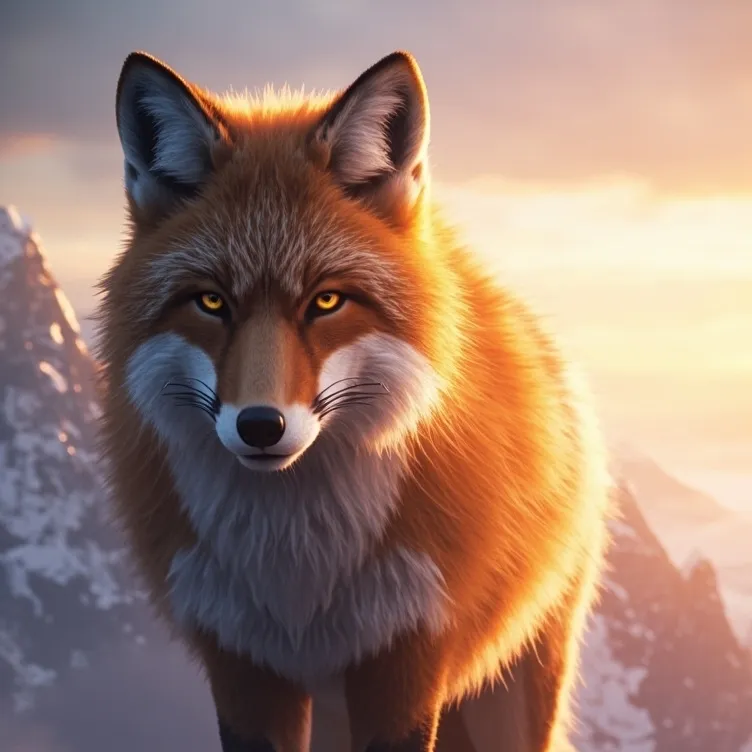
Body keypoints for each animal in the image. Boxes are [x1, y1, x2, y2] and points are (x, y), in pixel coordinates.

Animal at [95, 48, 612, 752]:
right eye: (211, 302)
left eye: (327, 301)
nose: (260, 426)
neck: (296, 565)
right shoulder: (243, 662)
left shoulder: (405, 654)